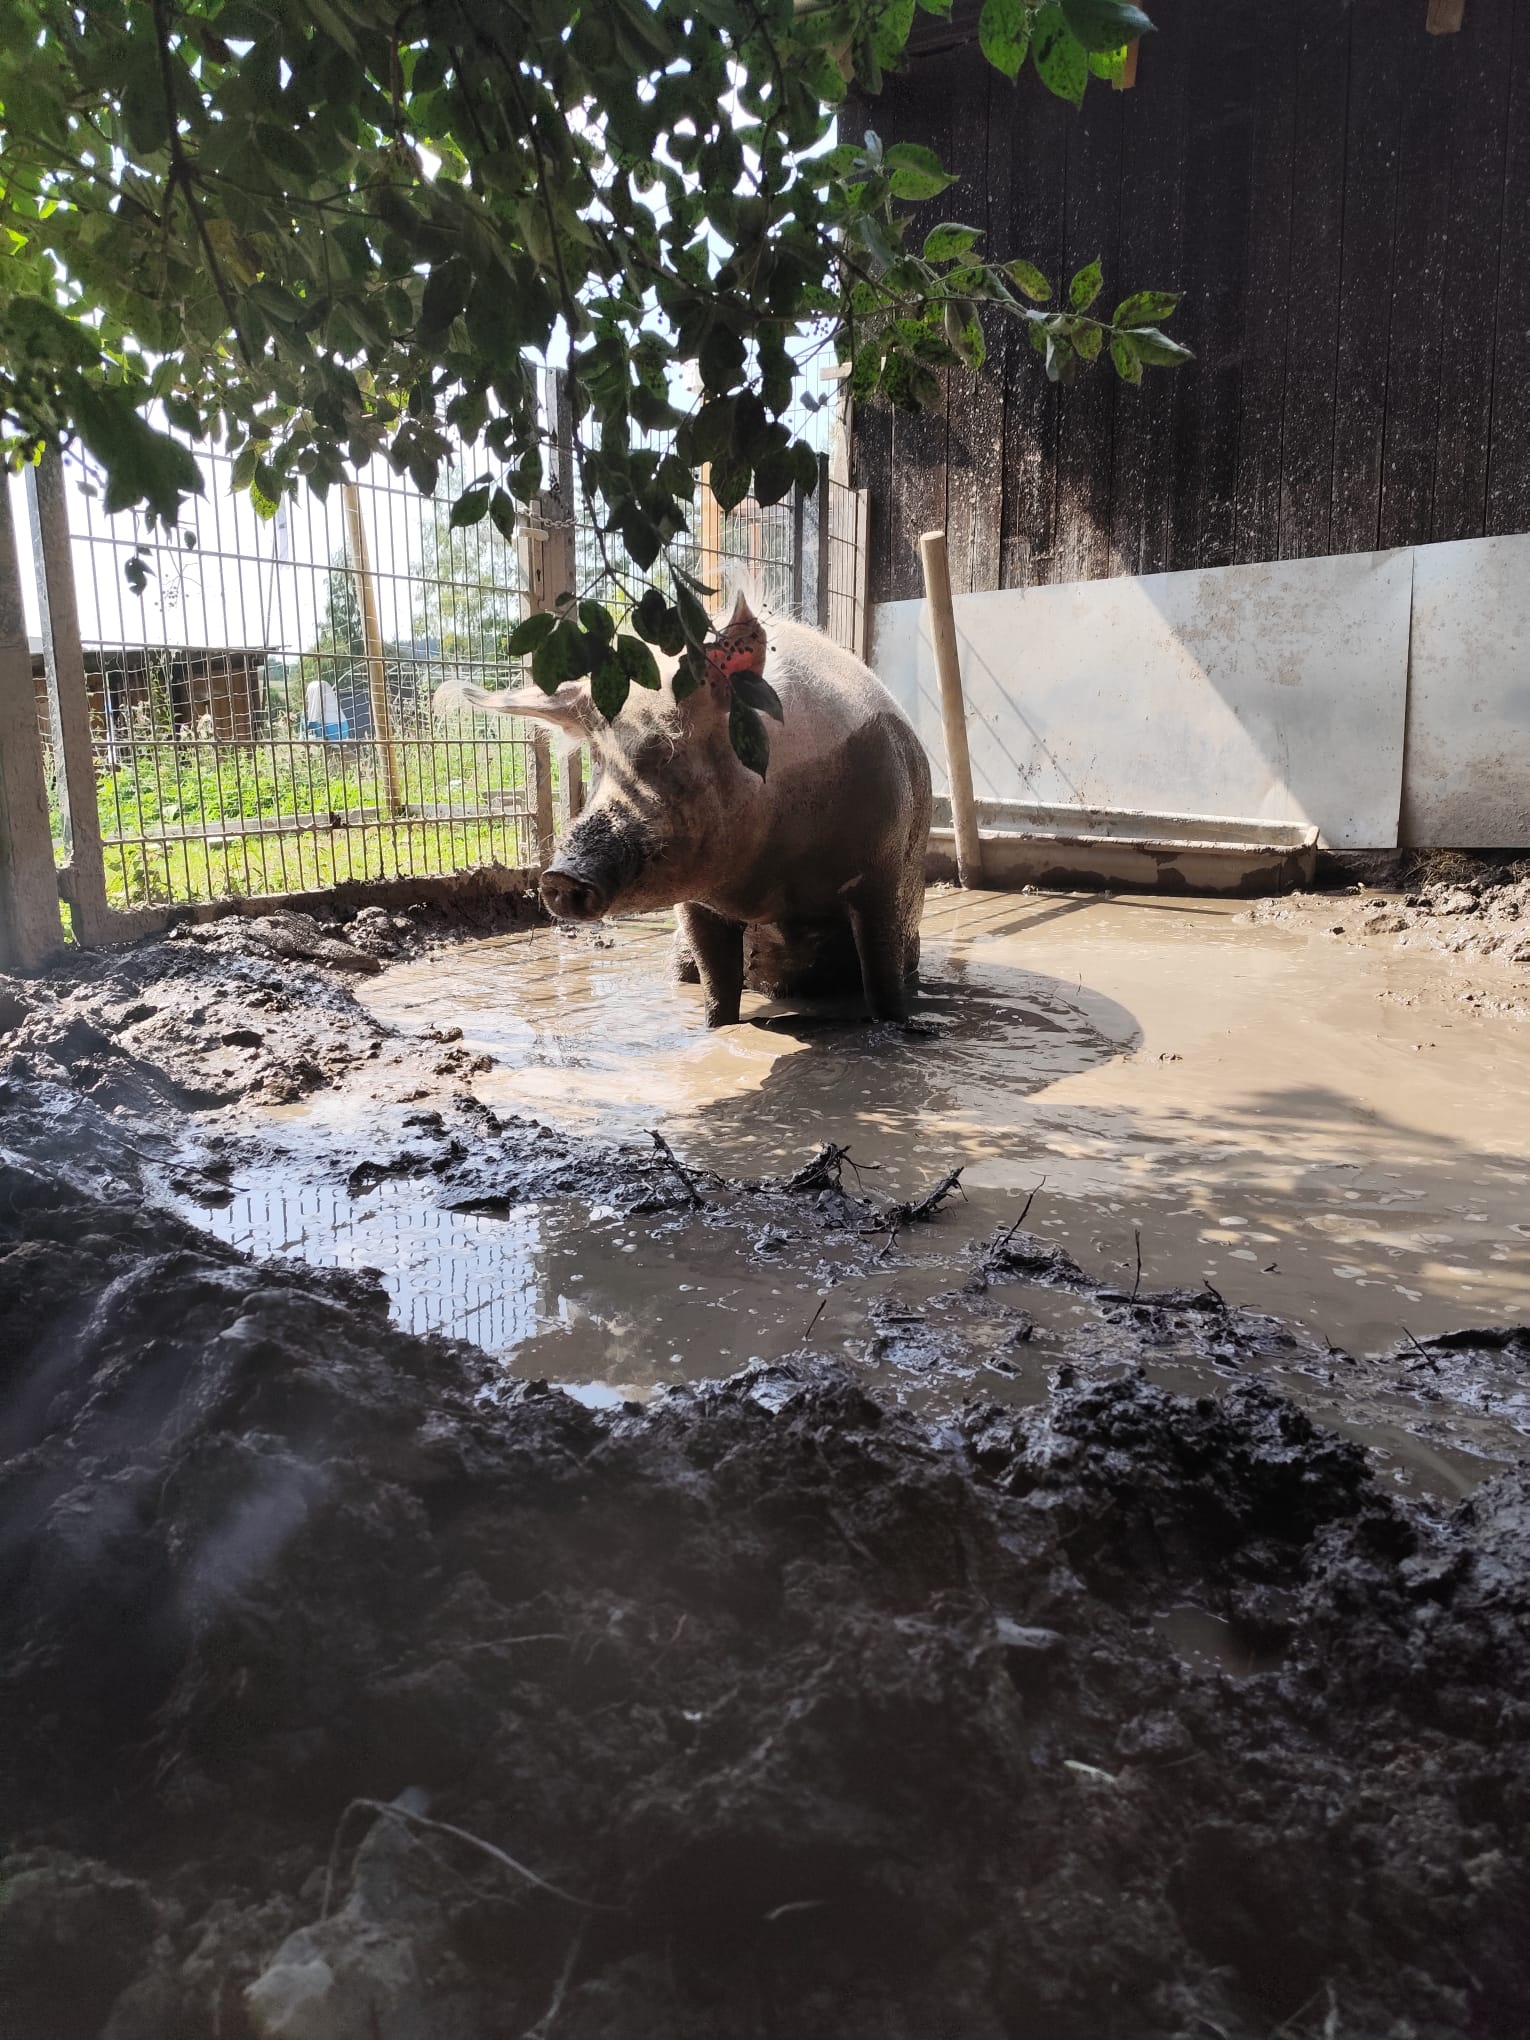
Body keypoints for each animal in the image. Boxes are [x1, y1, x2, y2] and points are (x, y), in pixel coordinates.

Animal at [433, 595, 931, 1027]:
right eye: (599, 759)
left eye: (667, 749)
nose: (560, 877)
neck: (771, 884)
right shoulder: (696, 904)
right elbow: (717, 983)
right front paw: (715, 1028)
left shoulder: (883, 873)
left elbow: (881, 979)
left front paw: (897, 1028)